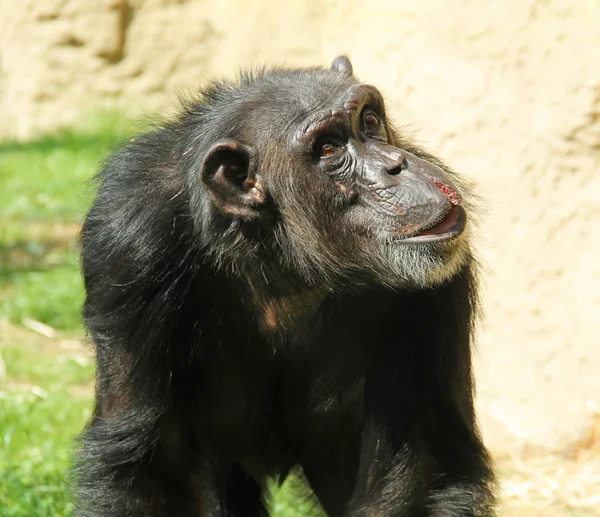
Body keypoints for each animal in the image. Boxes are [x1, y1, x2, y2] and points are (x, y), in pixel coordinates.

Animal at [74, 56, 496, 516]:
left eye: (368, 121)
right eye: (328, 149)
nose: (396, 163)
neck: (276, 250)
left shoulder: (435, 287)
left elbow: (424, 466)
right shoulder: (127, 246)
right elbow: (151, 464)